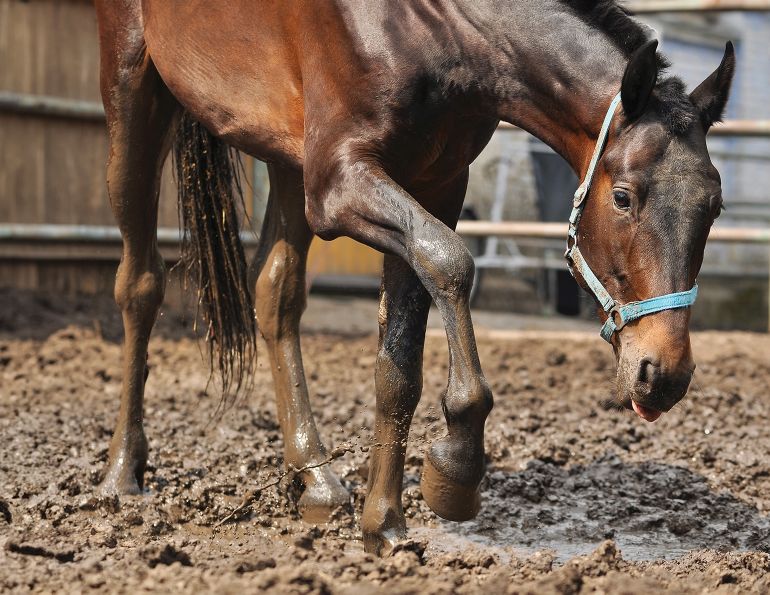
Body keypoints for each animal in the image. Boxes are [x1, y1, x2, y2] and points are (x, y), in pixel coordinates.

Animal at [93, 0, 734, 555]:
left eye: (715, 208)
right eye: (623, 197)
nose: (664, 375)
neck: (433, 28)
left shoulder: (433, 182)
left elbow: (398, 361)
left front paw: (383, 523)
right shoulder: (341, 181)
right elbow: (451, 261)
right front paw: (456, 465)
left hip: (285, 150)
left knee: (274, 291)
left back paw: (315, 480)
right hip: (134, 90)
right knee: (140, 282)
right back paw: (122, 473)